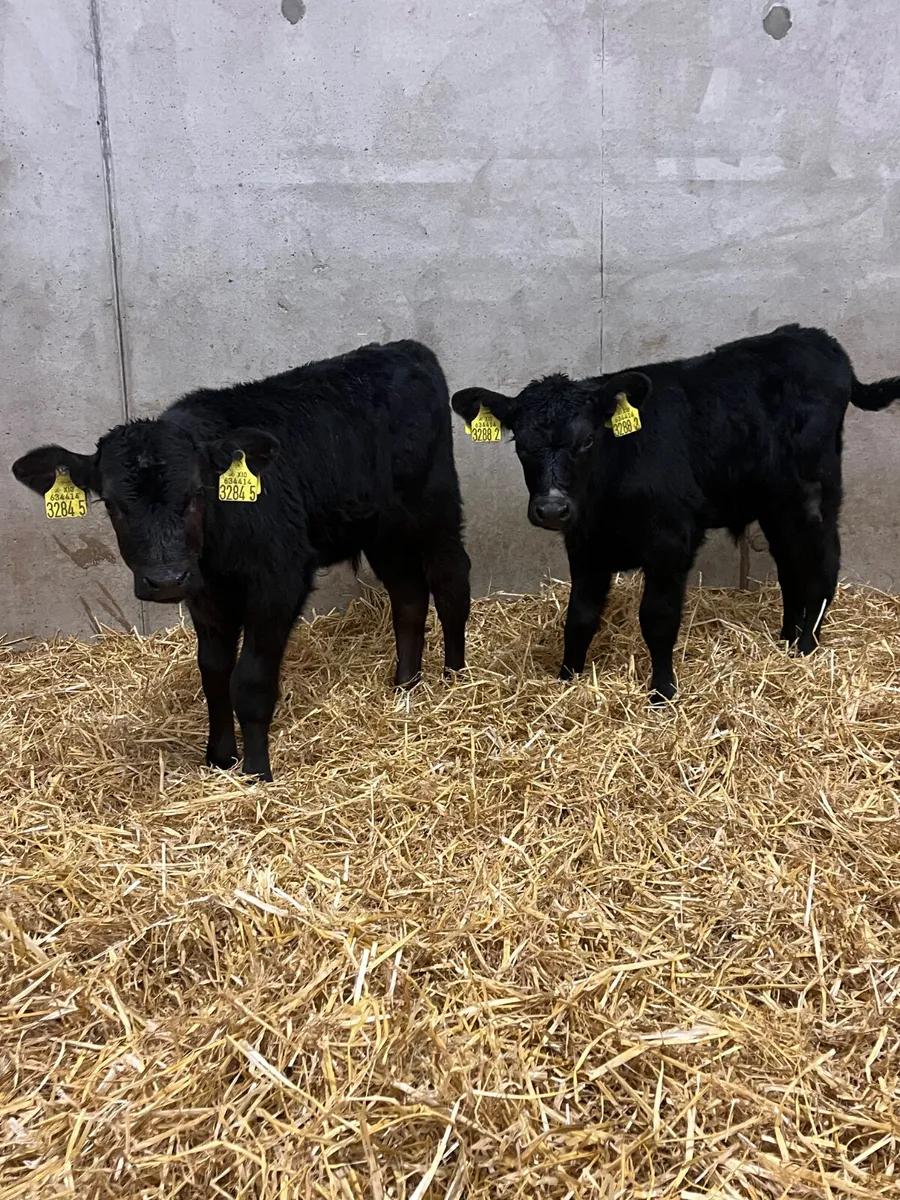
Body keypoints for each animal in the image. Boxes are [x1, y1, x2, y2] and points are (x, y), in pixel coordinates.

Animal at [13, 340, 471, 780]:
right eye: (112, 504)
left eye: (197, 493)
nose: (166, 579)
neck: (218, 547)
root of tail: (405, 349)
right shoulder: (205, 593)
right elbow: (214, 671)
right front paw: (219, 758)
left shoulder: (278, 582)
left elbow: (250, 680)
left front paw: (256, 771)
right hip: (381, 530)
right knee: (409, 596)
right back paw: (406, 686)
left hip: (435, 504)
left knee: (451, 582)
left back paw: (455, 678)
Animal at [452, 325, 900, 702]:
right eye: (522, 445)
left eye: (587, 441)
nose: (551, 508)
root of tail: (815, 338)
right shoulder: (585, 543)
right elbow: (580, 615)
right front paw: (567, 679)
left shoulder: (671, 539)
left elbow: (658, 617)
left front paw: (662, 691)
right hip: (775, 504)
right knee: (790, 568)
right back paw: (786, 639)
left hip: (814, 492)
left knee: (823, 563)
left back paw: (806, 646)